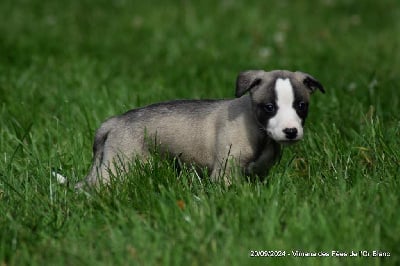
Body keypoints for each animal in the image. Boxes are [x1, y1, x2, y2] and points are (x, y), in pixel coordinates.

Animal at [76, 69, 324, 188]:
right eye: (269, 107)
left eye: (301, 106)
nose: (290, 132)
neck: (259, 131)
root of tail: (115, 121)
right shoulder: (225, 173)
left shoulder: (259, 174)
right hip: (118, 167)